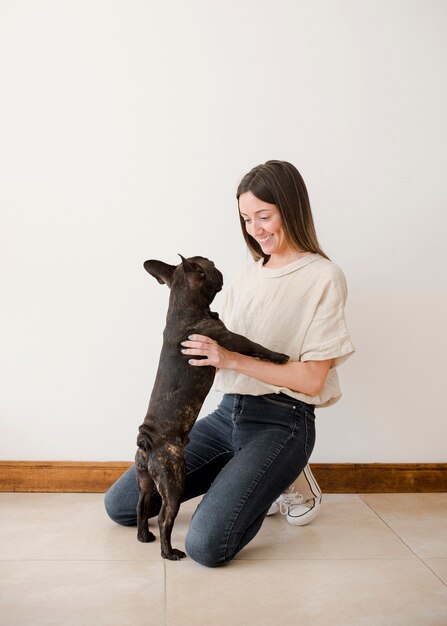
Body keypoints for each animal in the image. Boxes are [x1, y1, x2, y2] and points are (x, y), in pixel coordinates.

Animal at [136, 256, 290, 560]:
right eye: (209, 264)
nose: (218, 266)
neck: (183, 306)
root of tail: (147, 442)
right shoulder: (230, 339)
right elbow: (256, 346)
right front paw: (279, 356)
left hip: (145, 479)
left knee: (141, 504)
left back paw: (143, 536)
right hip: (173, 479)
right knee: (165, 517)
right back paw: (169, 552)